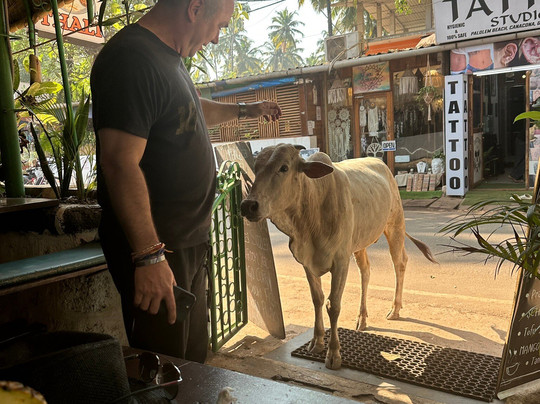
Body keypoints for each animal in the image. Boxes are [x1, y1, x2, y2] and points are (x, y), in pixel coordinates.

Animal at [240, 144, 436, 370]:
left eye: (284, 167)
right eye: (256, 168)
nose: (248, 205)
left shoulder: (340, 261)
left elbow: (333, 306)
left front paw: (333, 353)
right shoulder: (306, 262)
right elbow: (317, 299)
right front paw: (317, 342)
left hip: (395, 226)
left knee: (400, 263)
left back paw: (394, 309)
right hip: (360, 243)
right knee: (365, 271)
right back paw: (362, 318)